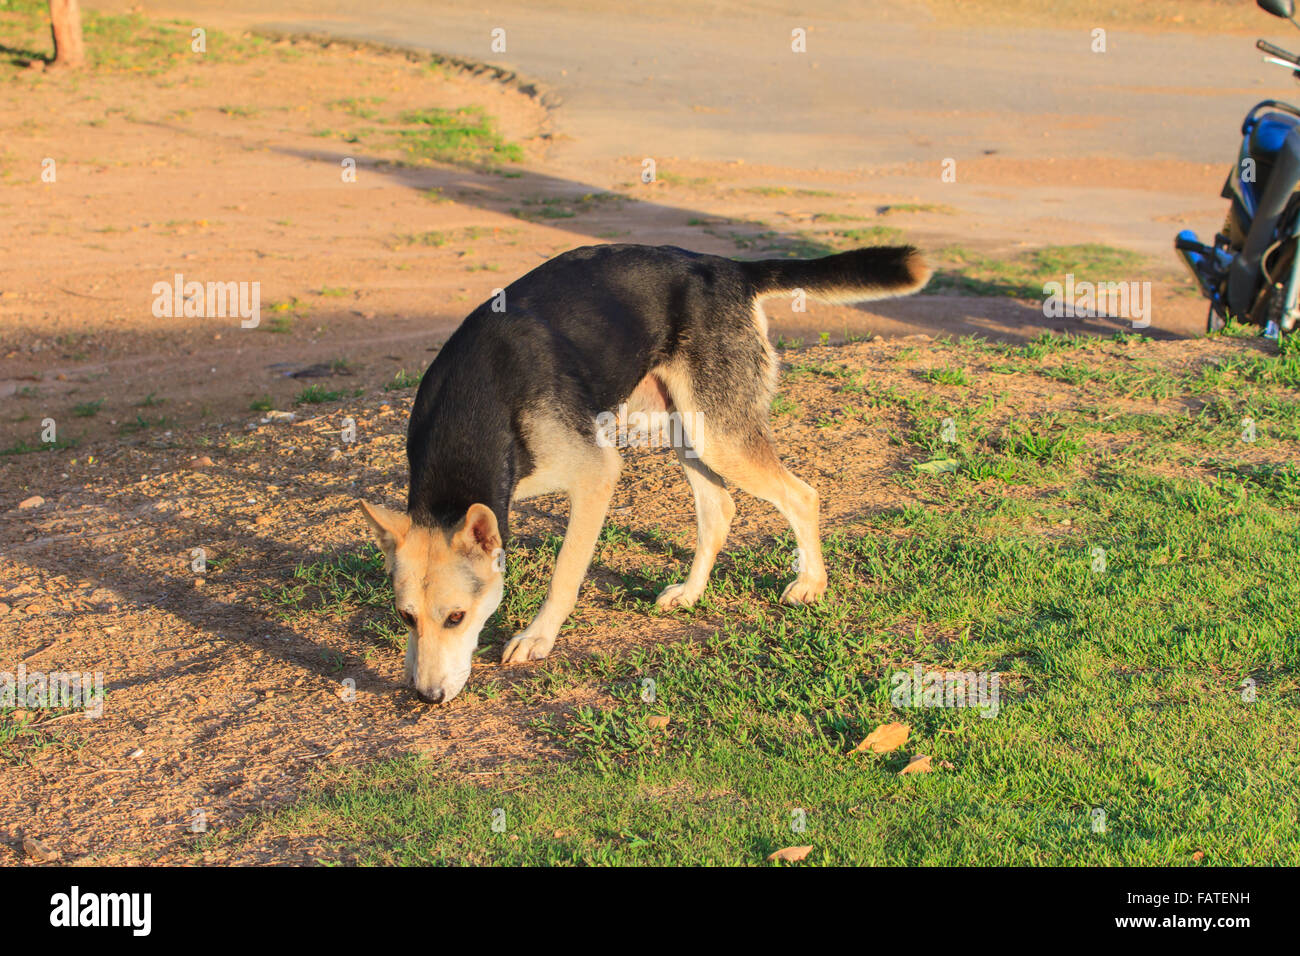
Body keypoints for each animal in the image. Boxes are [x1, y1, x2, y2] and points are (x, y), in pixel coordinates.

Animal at [356, 240, 930, 702]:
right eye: (405, 616)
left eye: (457, 617)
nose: (427, 697)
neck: (475, 400)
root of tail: (726, 267)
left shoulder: (596, 474)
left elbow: (566, 573)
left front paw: (538, 637)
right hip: (687, 429)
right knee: (719, 508)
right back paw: (691, 593)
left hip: (720, 436)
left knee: (802, 495)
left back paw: (810, 584)